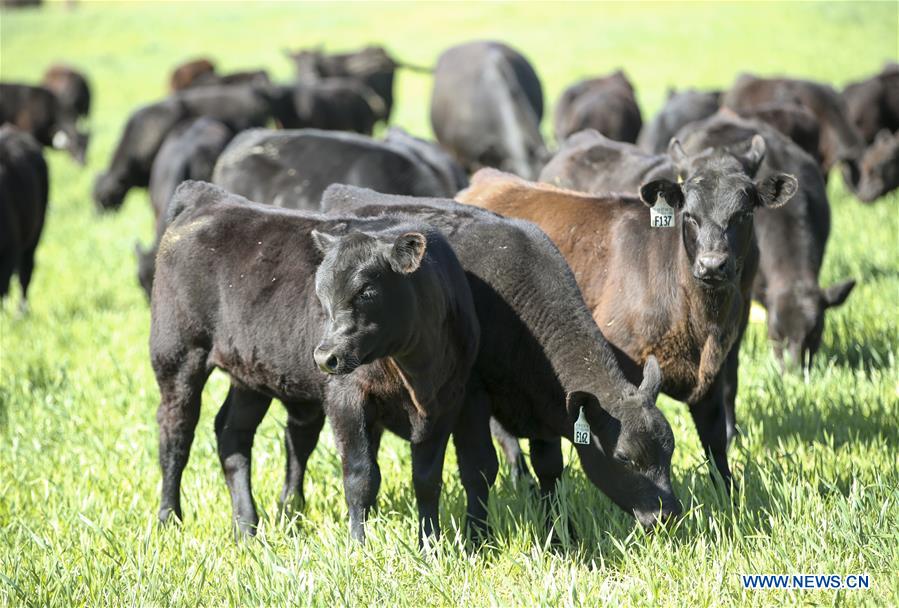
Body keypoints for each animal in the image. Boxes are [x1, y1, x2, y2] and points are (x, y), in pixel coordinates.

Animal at [151, 180, 486, 547]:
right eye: (321, 293)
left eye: (367, 290)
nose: (325, 356)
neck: (416, 372)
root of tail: (210, 197)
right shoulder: (346, 397)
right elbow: (361, 477)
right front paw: (359, 545)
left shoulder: (447, 402)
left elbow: (426, 481)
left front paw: (430, 544)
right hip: (178, 354)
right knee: (176, 434)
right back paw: (169, 519)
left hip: (250, 374)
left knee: (232, 436)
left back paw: (247, 527)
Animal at [321, 185, 681, 531]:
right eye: (623, 458)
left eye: (670, 450)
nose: (668, 514)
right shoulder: (471, 394)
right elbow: (480, 467)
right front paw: (478, 536)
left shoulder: (544, 403)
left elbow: (549, 467)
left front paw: (559, 533)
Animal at [476, 138, 798, 486]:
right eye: (689, 215)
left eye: (743, 214)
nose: (712, 265)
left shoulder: (714, 372)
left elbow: (716, 443)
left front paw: (727, 492)